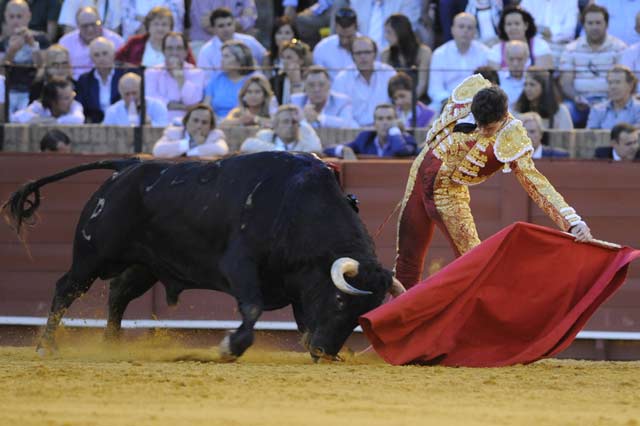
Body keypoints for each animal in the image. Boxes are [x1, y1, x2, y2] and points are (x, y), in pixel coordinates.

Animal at [2, 151, 402, 362]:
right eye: (340, 302)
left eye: (363, 312)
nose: (324, 351)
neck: (299, 207)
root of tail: (126, 164)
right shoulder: (240, 266)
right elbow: (252, 308)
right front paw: (229, 346)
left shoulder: (300, 286)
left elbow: (303, 321)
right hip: (93, 255)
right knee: (65, 288)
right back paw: (46, 346)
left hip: (144, 265)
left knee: (117, 295)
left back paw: (111, 346)